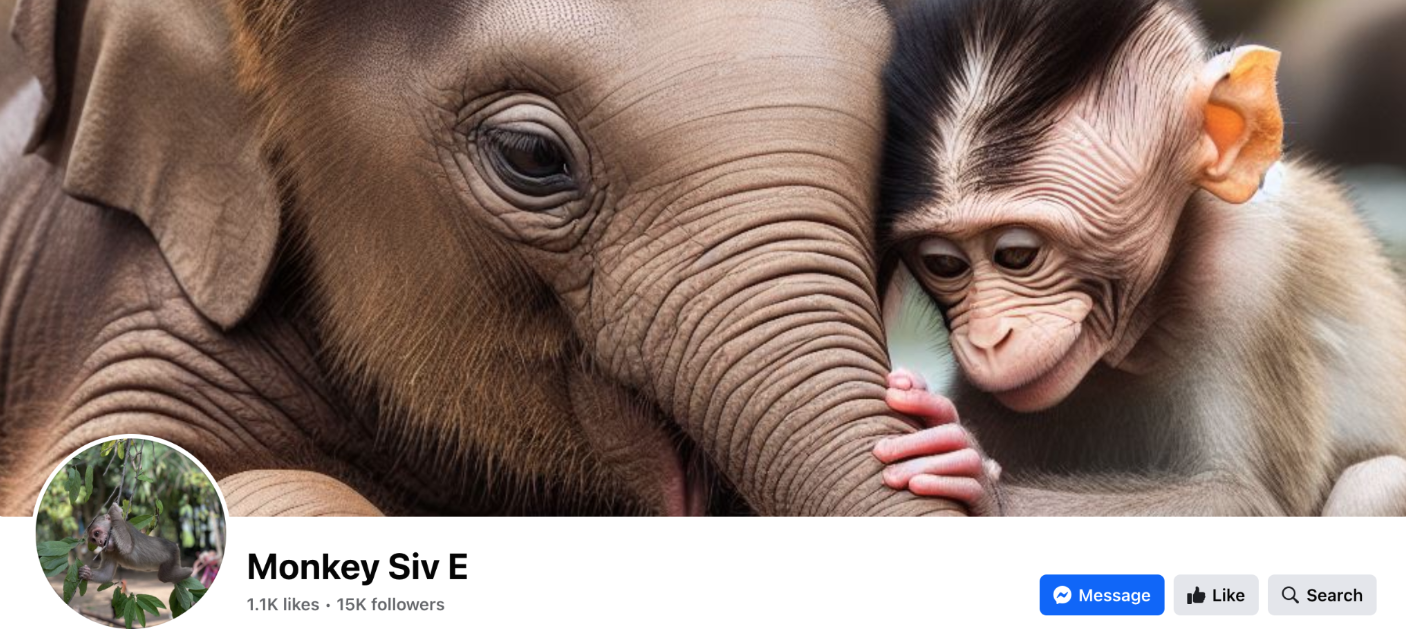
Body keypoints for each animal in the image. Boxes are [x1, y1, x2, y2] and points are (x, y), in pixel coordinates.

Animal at [870, 0, 1406, 516]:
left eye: (1017, 254)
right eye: (944, 264)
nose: (988, 338)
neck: (1145, 323)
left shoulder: (1250, 269)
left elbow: (1242, 497)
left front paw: (983, 482)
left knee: (1376, 483)